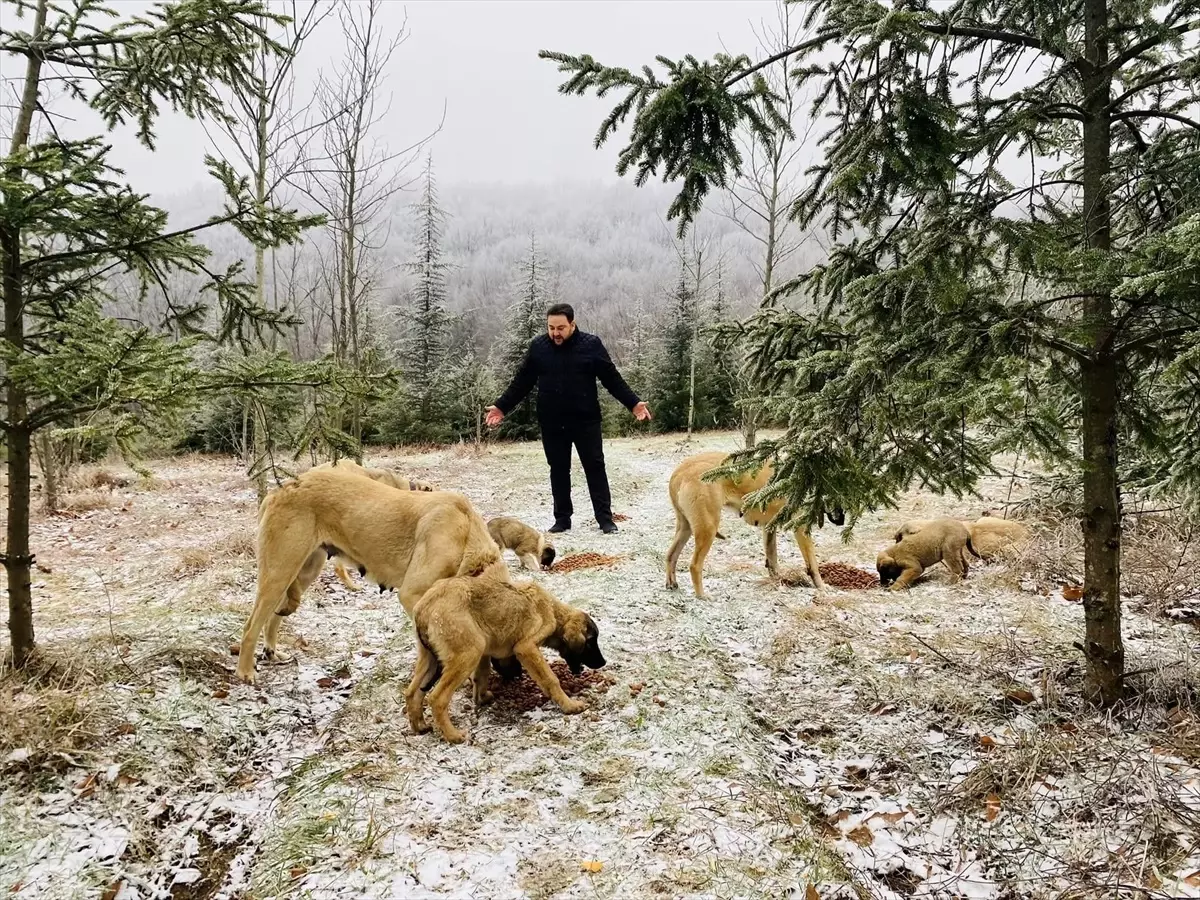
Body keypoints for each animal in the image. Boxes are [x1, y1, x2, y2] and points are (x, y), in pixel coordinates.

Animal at [238, 468, 506, 686]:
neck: (467, 535)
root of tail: (278, 490)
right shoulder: (412, 595)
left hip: (304, 570)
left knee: (273, 617)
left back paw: (272, 652)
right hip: (279, 572)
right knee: (251, 626)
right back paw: (245, 672)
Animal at [405, 578, 609, 748]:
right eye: (591, 642)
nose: (603, 662)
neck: (552, 609)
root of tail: (425, 606)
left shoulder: (486, 651)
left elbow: (482, 675)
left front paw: (481, 698)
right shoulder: (526, 647)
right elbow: (551, 679)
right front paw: (569, 705)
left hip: (432, 657)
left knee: (412, 692)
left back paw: (419, 726)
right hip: (468, 653)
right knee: (437, 698)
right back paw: (452, 735)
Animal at [657, 451, 844, 600]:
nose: (841, 521)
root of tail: (679, 471)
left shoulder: (769, 529)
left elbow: (772, 559)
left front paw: (778, 581)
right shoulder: (801, 529)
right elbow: (813, 564)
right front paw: (821, 586)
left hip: (686, 527)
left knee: (671, 555)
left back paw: (672, 584)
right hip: (708, 527)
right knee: (695, 565)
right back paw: (701, 595)